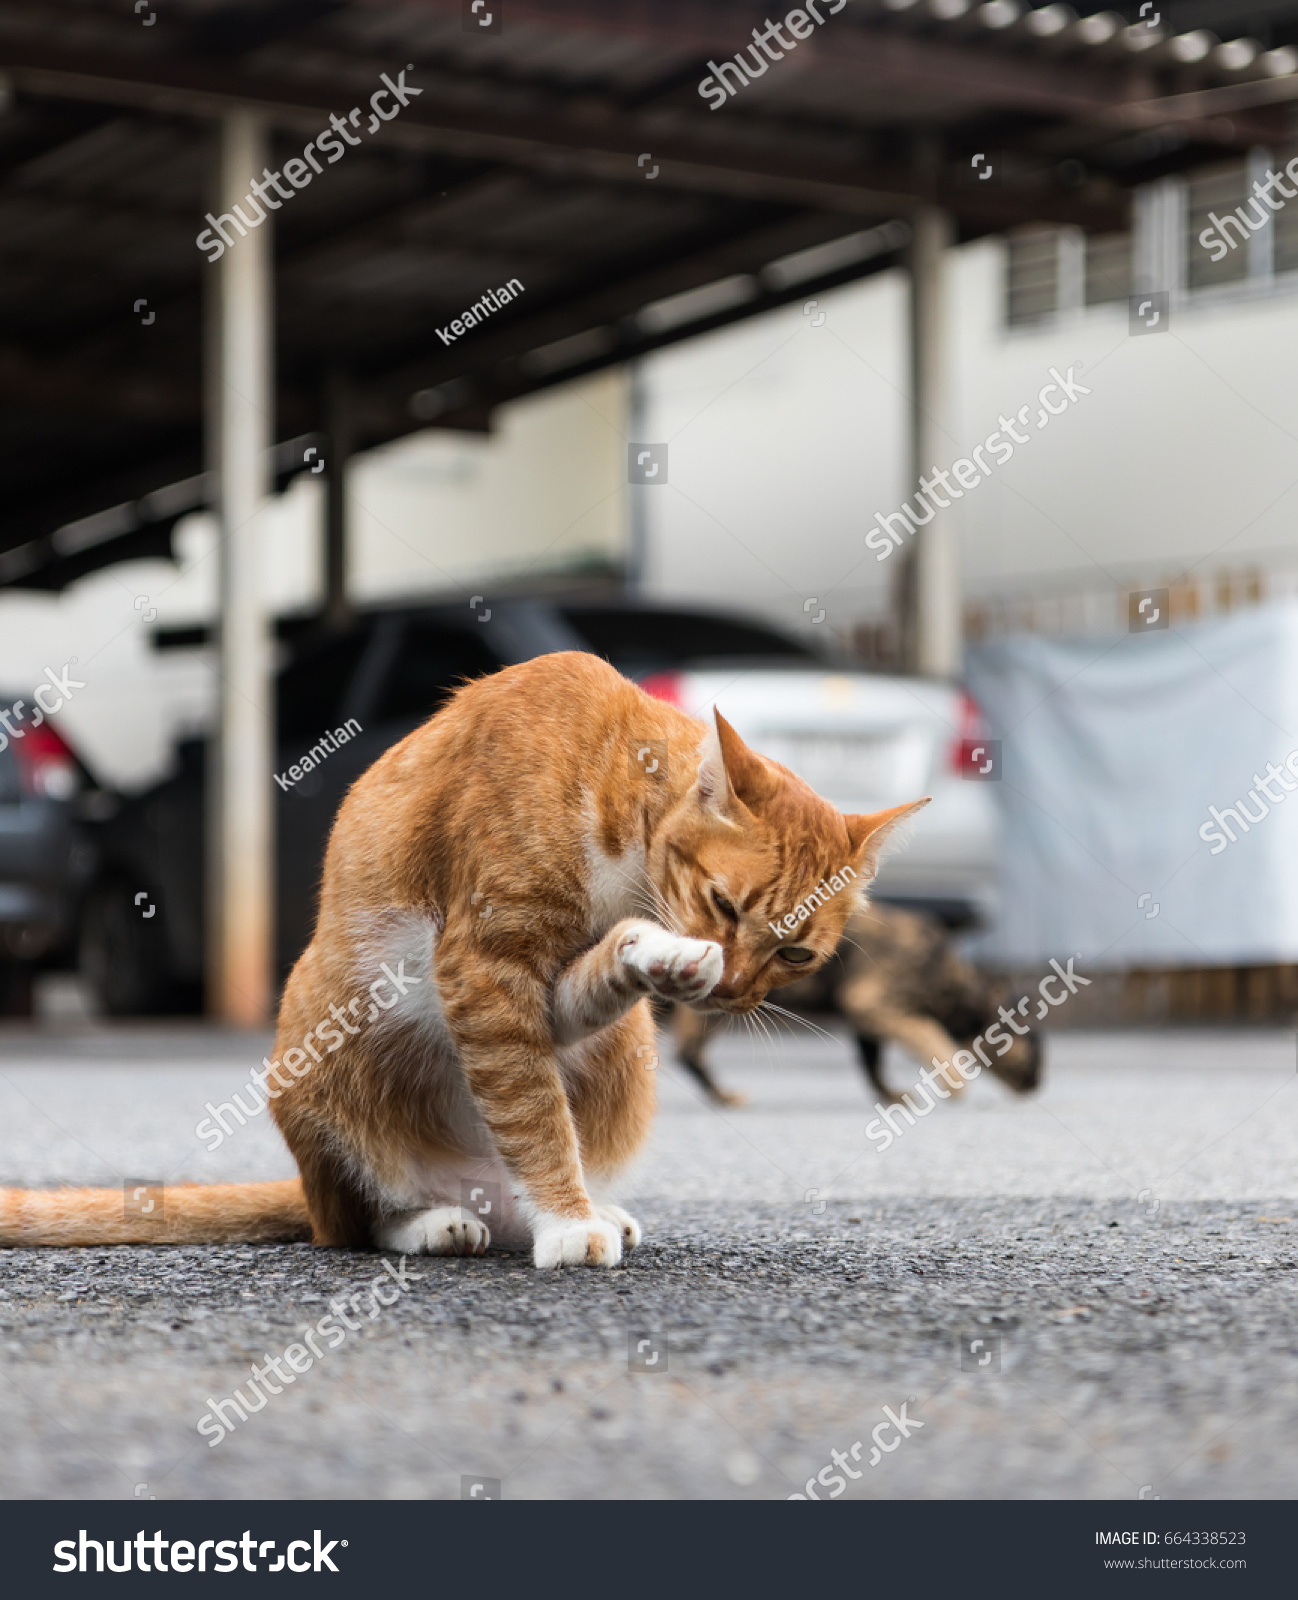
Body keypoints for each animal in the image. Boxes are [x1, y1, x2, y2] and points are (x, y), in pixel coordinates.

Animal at [5, 649, 928, 1260]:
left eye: (796, 955)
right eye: (726, 907)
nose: (732, 989)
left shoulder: (543, 994)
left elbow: (590, 994)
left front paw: (657, 955)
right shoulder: (482, 969)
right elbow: (532, 1110)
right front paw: (567, 1222)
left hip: (625, 1058)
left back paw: (595, 1206)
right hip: (325, 1042)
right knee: (355, 1222)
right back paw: (438, 1221)